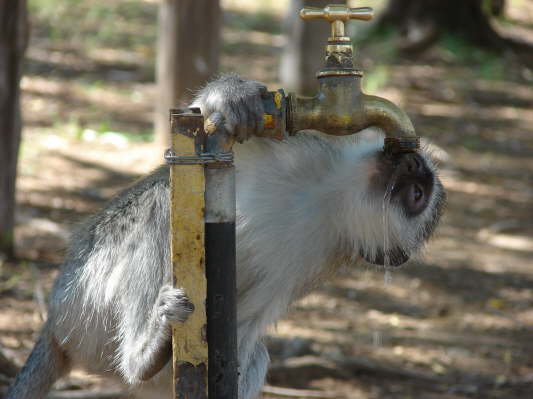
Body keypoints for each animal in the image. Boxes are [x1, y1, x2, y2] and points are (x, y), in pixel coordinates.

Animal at [6, 73, 442, 398]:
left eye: (417, 195)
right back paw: (142, 353)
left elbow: (245, 328)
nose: (412, 160)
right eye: (415, 176)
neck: (326, 198)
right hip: (86, 292)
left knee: (252, 355)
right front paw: (232, 95)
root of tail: (56, 325)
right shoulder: (305, 145)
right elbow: (204, 130)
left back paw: (142, 361)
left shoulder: (305, 264)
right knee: (160, 208)